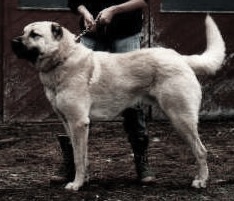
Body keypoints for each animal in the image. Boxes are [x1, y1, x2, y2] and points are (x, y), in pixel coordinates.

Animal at [11, 14, 226, 191]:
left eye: (35, 34)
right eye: (24, 32)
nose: (13, 42)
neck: (63, 58)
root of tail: (180, 58)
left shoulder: (78, 122)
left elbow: (79, 158)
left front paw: (76, 184)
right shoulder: (69, 123)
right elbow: (78, 153)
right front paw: (84, 179)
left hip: (180, 119)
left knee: (201, 151)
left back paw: (201, 181)